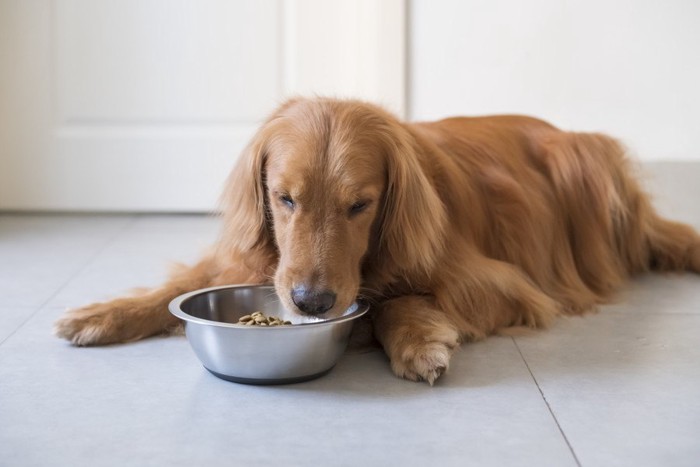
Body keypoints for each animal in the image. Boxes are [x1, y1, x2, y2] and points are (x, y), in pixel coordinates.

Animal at [56, 98, 700, 384]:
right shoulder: (252, 259)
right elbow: (180, 285)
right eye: (284, 199)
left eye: (360, 206)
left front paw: (417, 342)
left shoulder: (499, 284)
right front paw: (103, 313)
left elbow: (394, 301)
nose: (311, 303)